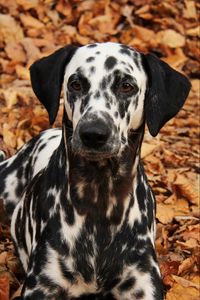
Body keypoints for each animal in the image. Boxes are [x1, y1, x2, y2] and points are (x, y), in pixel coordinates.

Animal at [0, 42, 191, 300]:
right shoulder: (42, 284)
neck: (99, 197)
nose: (93, 133)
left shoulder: (143, 282)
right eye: (76, 83)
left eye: (126, 86)